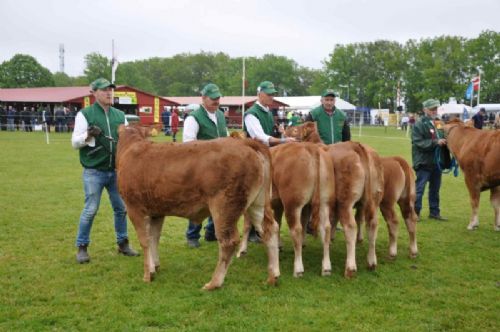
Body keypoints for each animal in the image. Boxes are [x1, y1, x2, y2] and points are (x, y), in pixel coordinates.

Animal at [117, 126, 282, 290]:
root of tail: (245, 142)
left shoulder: (134, 208)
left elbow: (144, 241)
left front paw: (147, 275)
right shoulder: (157, 212)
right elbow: (153, 239)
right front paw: (154, 267)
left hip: (224, 206)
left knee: (228, 241)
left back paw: (214, 283)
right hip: (257, 203)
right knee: (269, 229)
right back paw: (272, 276)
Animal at [238, 143, 336, 278]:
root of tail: (310, 146)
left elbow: (247, 225)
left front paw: (242, 250)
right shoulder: (278, 205)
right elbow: (277, 224)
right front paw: (278, 245)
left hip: (292, 204)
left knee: (296, 230)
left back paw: (298, 268)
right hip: (324, 202)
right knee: (326, 228)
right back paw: (326, 267)